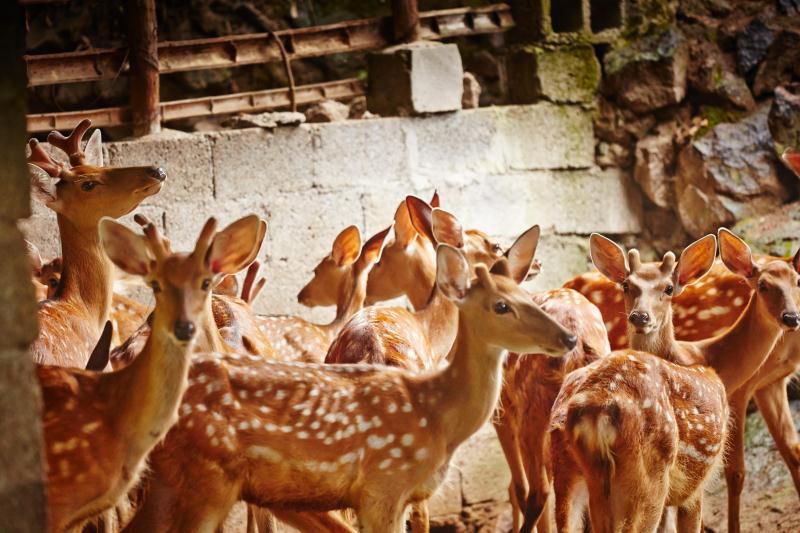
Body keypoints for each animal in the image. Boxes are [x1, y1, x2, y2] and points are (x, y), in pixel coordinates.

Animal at [552, 230, 800, 532]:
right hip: (647, 479)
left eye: (798, 282)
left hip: (571, 476)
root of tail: (594, 412)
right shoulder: (698, 479)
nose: (791, 318)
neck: (711, 359)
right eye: (762, 285)